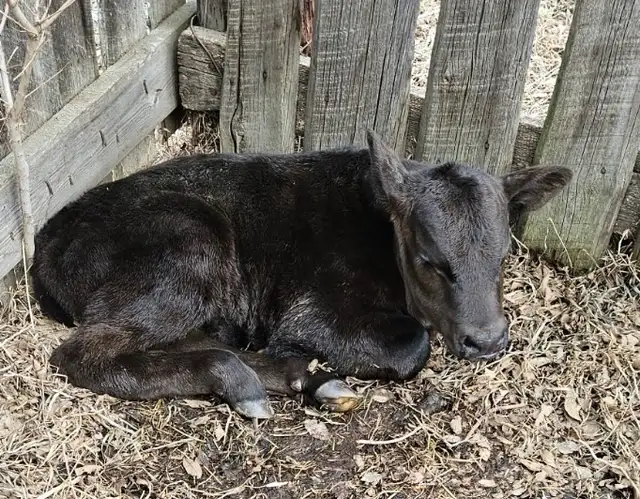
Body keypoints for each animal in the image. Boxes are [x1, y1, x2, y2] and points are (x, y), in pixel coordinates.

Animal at [31, 131, 572, 419]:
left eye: (502, 256)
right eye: (430, 260)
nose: (487, 341)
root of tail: (49, 240)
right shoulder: (310, 310)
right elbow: (412, 345)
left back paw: (301, 378)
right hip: (189, 242)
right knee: (85, 352)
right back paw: (242, 379)